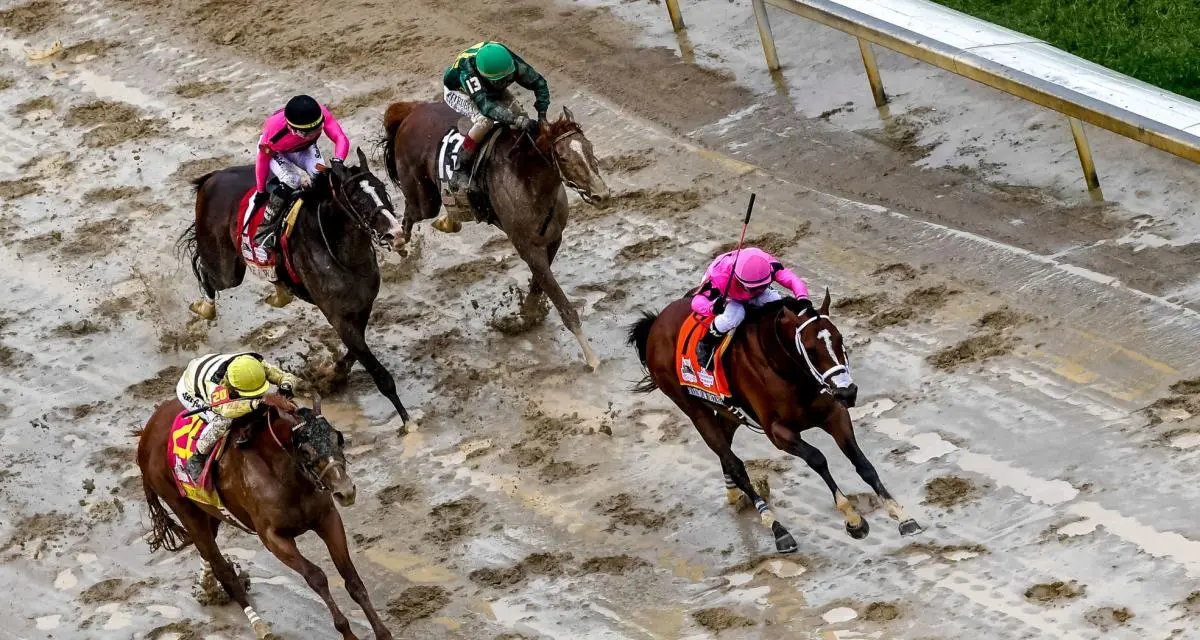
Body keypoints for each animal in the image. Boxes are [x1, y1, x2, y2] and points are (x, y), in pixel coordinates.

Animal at [136, 393, 391, 638]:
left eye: (338, 438)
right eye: (305, 450)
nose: (345, 491)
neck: (284, 474)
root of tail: (145, 437)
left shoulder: (327, 519)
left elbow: (352, 578)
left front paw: (383, 633)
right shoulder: (274, 538)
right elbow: (317, 577)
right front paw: (347, 632)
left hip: (210, 511)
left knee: (208, 552)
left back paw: (207, 585)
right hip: (185, 509)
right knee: (222, 569)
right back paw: (259, 626)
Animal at [180, 147, 415, 422]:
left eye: (382, 189)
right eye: (357, 199)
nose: (396, 234)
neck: (341, 252)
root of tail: (212, 177)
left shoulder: (362, 305)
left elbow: (354, 353)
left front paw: (332, 375)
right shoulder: (337, 316)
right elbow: (376, 370)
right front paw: (407, 422)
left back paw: (279, 294)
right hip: (226, 268)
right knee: (207, 273)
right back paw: (205, 308)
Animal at [384, 99, 609, 369]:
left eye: (590, 148)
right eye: (563, 158)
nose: (601, 195)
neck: (528, 179)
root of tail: (410, 112)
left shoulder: (554, 238)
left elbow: (538, 286)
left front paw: (526, 316)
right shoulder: (527, 247)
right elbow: (560, 301)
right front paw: (592, 359)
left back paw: (447, 221)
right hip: (424, 200)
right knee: (409, 217)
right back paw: (398, 243)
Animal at [628, 291, 926, 552]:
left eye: (840, 339)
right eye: (810, 349)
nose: (847, 392)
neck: (785, 368)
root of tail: (656, 323)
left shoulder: (834, 415)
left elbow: (862, 463)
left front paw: (901, 515)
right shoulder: (779, 432)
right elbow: (818, 459)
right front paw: (852, 518)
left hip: (730, 412)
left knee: (727, 450)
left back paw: (735, 495)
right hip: (694, 409)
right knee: (734, 463)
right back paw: (777, 528)